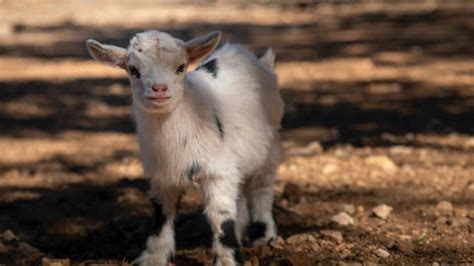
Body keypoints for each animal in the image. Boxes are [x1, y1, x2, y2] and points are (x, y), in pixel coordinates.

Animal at [85, 30, 284, 264]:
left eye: (181, 67)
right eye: (133, 70)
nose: (159, 88)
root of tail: (256, 60)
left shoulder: (218, 172)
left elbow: (219, 216)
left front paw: (227, 260)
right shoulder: (161, 177)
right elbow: (162, 214)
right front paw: (153, 257)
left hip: (271, 145)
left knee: (262, 188)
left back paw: (265, 237)